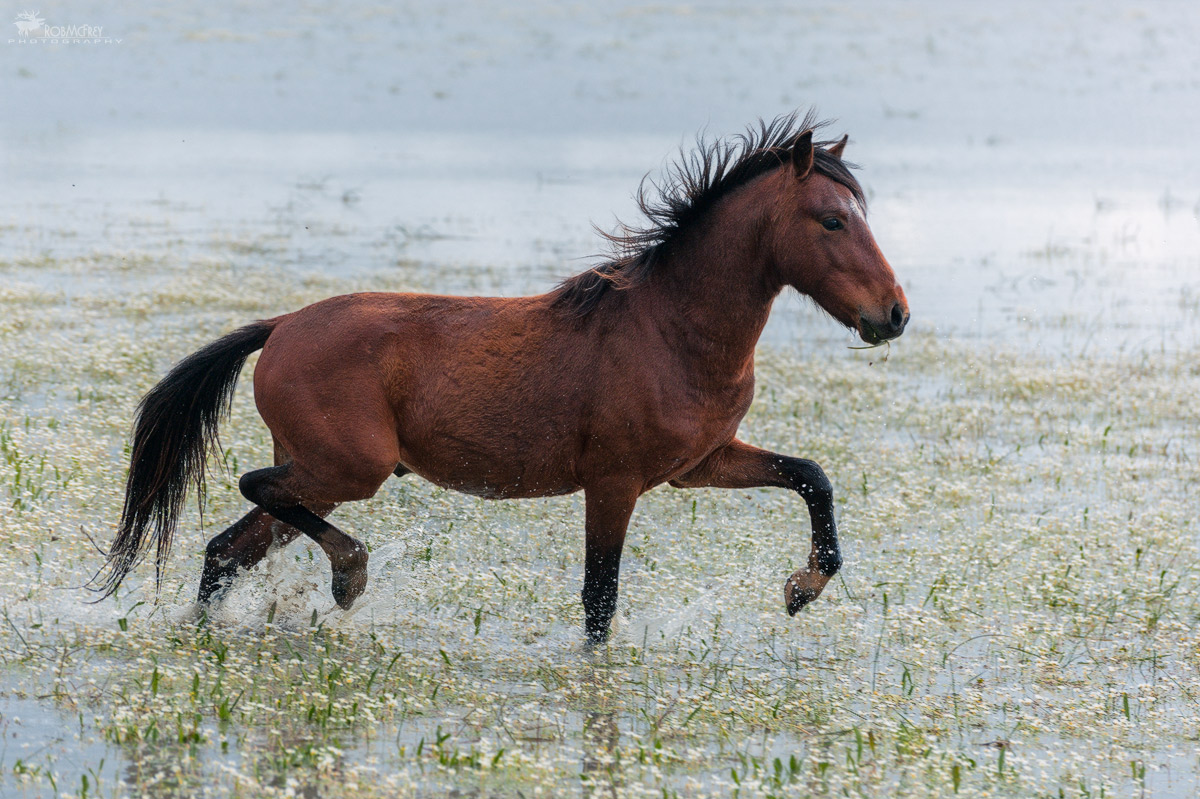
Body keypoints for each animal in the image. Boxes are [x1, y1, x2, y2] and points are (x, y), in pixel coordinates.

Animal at [96, 111, 908, 644]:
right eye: (832, 220)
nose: (894, 315)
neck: (670, 331)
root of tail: (283, 325)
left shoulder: (699, 464)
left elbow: (811, 476)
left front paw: (802, 589)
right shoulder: (614, 482)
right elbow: (599, 600)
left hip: (323, 474)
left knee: (225, 549)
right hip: (349, 467)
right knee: (253, 491)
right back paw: (350, 574)